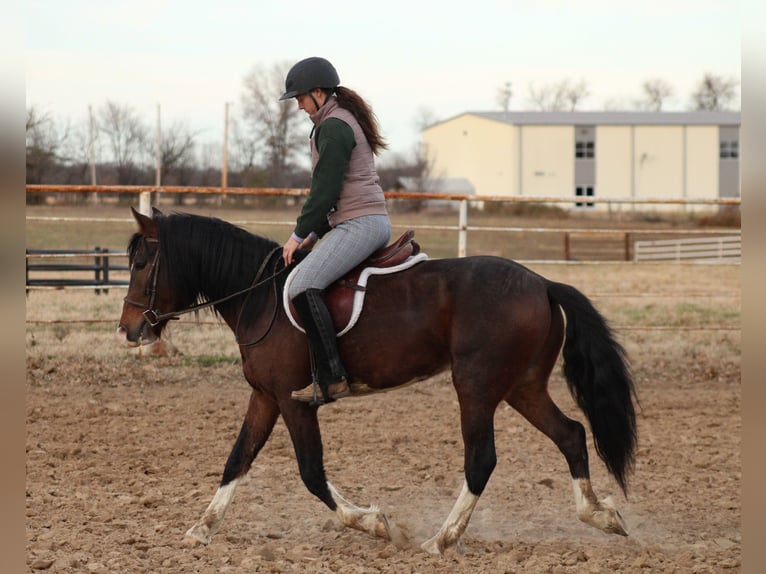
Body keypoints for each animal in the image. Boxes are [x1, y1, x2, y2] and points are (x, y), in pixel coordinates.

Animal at [117, 207, 638, 555]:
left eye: (141, 265)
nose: (128, 329)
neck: (259, 297)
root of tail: (542, 284)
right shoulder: (265, 397)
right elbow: (237, 459)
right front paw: (201, 529)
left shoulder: (293, 400)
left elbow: (311, 473)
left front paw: (373, 523)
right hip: (521, 387)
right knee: (571, 434)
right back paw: (601, 515)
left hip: (476, 387)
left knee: (482, 460)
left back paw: (441, 540)